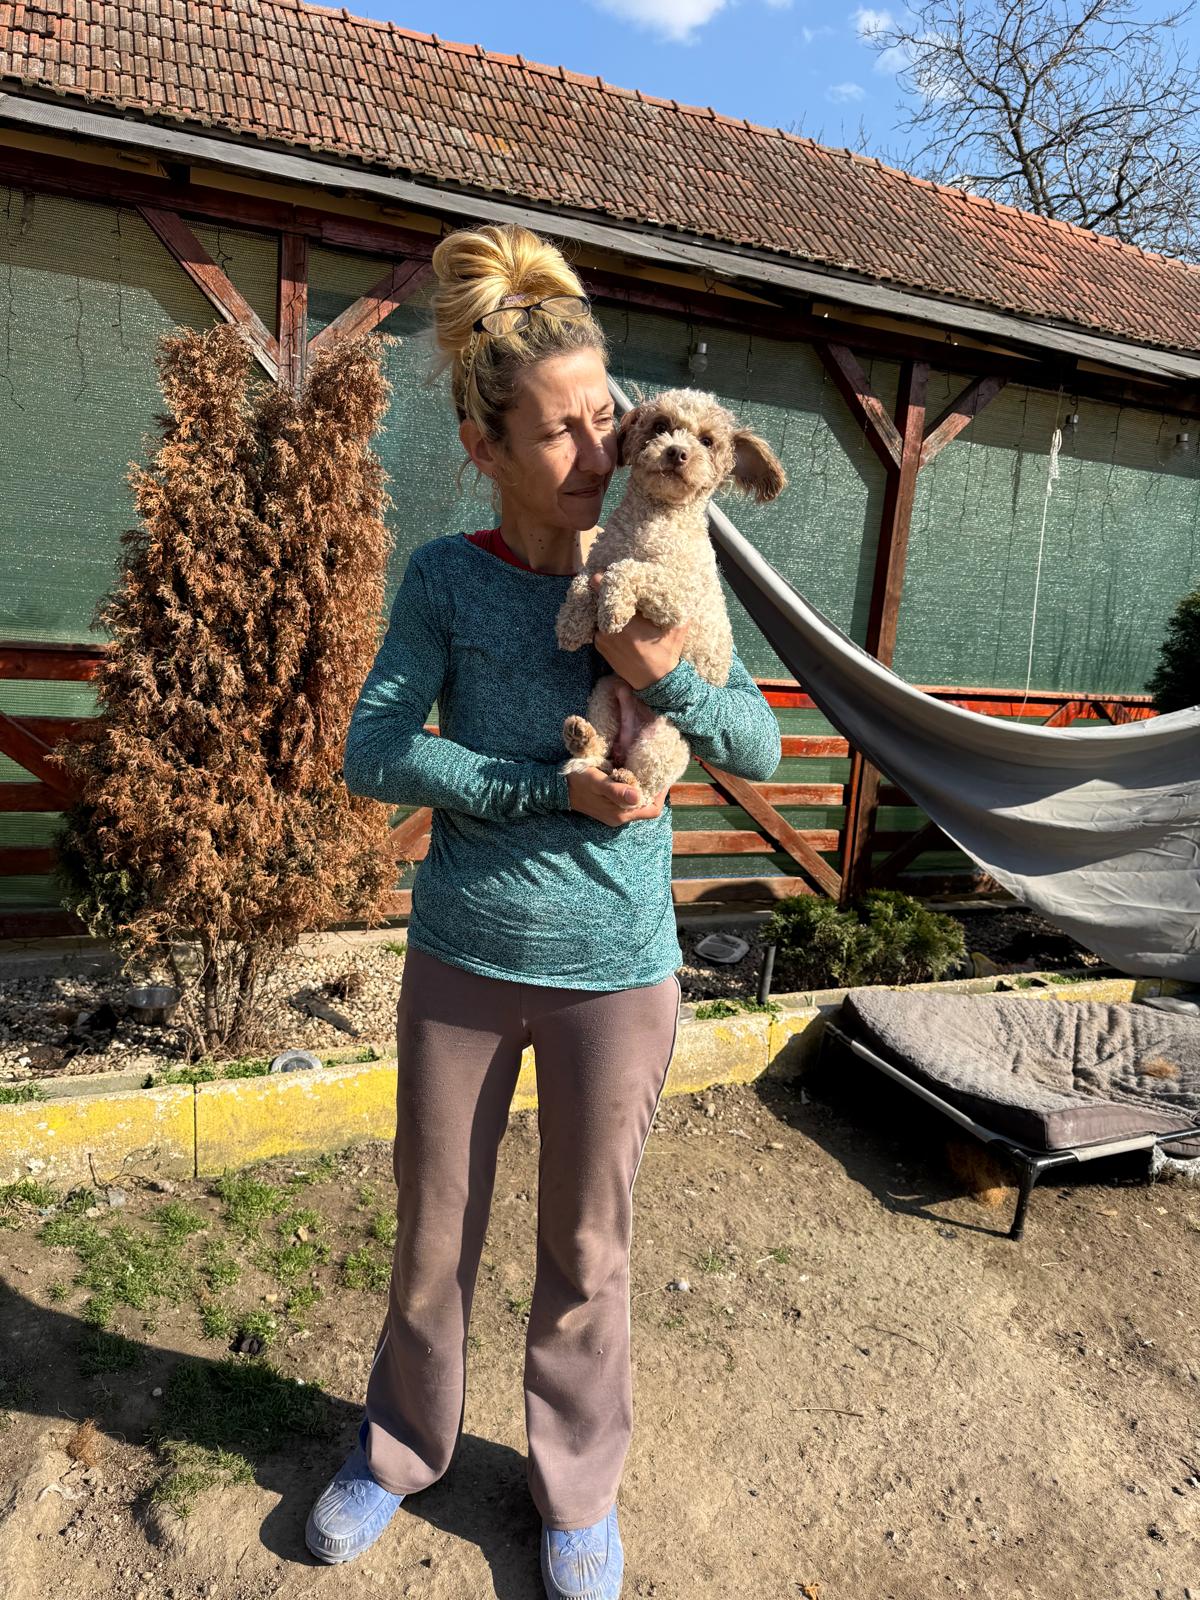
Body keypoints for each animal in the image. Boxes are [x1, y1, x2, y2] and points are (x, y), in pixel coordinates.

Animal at [554, 387, 787, 806]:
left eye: (707, 441)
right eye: (660, 426)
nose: (677, 452)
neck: (651, 522)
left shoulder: (677, 596)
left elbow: (628, 570)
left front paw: (613, 608)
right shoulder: (597, 560)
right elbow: (580, 583)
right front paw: (571, 624)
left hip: (666, 740)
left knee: (645, 788)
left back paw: (628, 779)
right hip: (604, 694)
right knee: (599, 753)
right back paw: (582, 738)